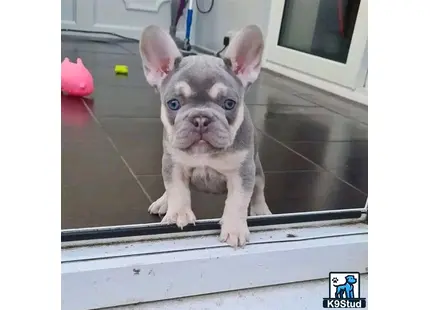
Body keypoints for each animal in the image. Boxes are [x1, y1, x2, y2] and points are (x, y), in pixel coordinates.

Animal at [139, 24, 270, 248]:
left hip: (257, 169)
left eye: (229, 104)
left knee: (259, 188)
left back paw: (261, 211)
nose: (200, 118)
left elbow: (237, 201)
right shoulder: (173, 163)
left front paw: (234, 228)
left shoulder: (243, 171)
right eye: (173, 104)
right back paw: (164, 202)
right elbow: (177, 189)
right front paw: (178, 213)